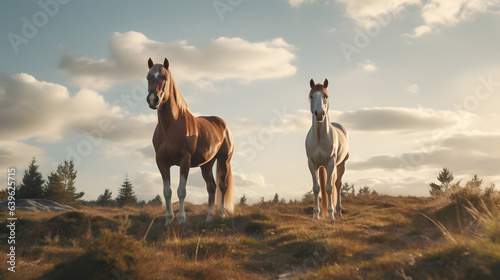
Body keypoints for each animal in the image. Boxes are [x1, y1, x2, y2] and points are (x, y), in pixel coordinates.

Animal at [146, 58, 234, 224]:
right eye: (148, 77)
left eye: (165, 77)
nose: (153, 100)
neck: (170, 125)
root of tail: (223, 124)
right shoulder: (161, 161)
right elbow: (167, 191)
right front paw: (168, 219)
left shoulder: (184, 160)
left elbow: (181, 190)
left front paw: (181, 219)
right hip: (207, 164)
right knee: (211, 187)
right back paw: (209, 218)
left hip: (223, 160)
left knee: (222, 185)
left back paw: (221, 214)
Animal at [302, 78, 350, 219]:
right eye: (312, 96)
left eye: (326, 96)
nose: (319, 114)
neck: (319, 137)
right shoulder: (312, 164)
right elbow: (317, 188)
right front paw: (316, 215)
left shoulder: (330, 163)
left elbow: (329, 188)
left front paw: (331, 214)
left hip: (340, 164)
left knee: (337, 185)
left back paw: (338, 212)